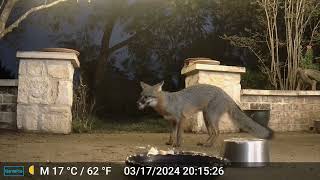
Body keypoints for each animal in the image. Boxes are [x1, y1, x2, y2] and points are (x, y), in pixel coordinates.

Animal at [137, 81, 272, 148]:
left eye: (147, 97)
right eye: (141, 95)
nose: (137, 103)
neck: (166, 102)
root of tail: (226, 94)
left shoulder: (181, 119)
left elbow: (179, 135)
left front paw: (177, 145)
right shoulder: (172, 121)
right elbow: (172, 134)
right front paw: (170, 142)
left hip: (211, 117)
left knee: (217, 132)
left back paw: (209, 145)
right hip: (206, 118)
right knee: (212, 133)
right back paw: (205, 143)